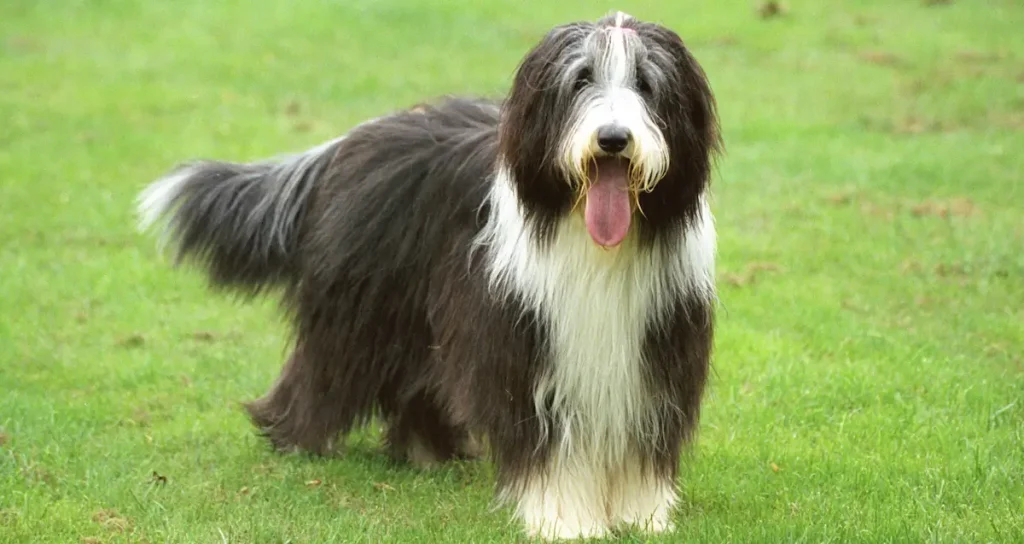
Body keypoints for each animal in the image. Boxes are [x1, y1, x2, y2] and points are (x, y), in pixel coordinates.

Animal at [138, 10, 720, 540]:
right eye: (580, 79)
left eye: (646, 83)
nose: (614, 138)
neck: (594, 242)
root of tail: (353, 140)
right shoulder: (530, 350)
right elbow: (548, 445)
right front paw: (567, 520)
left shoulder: (654, 349)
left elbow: (643, 439)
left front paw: (642, 515)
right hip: (363, 309)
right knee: (321, 370)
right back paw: (297, 440)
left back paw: (428, 453)